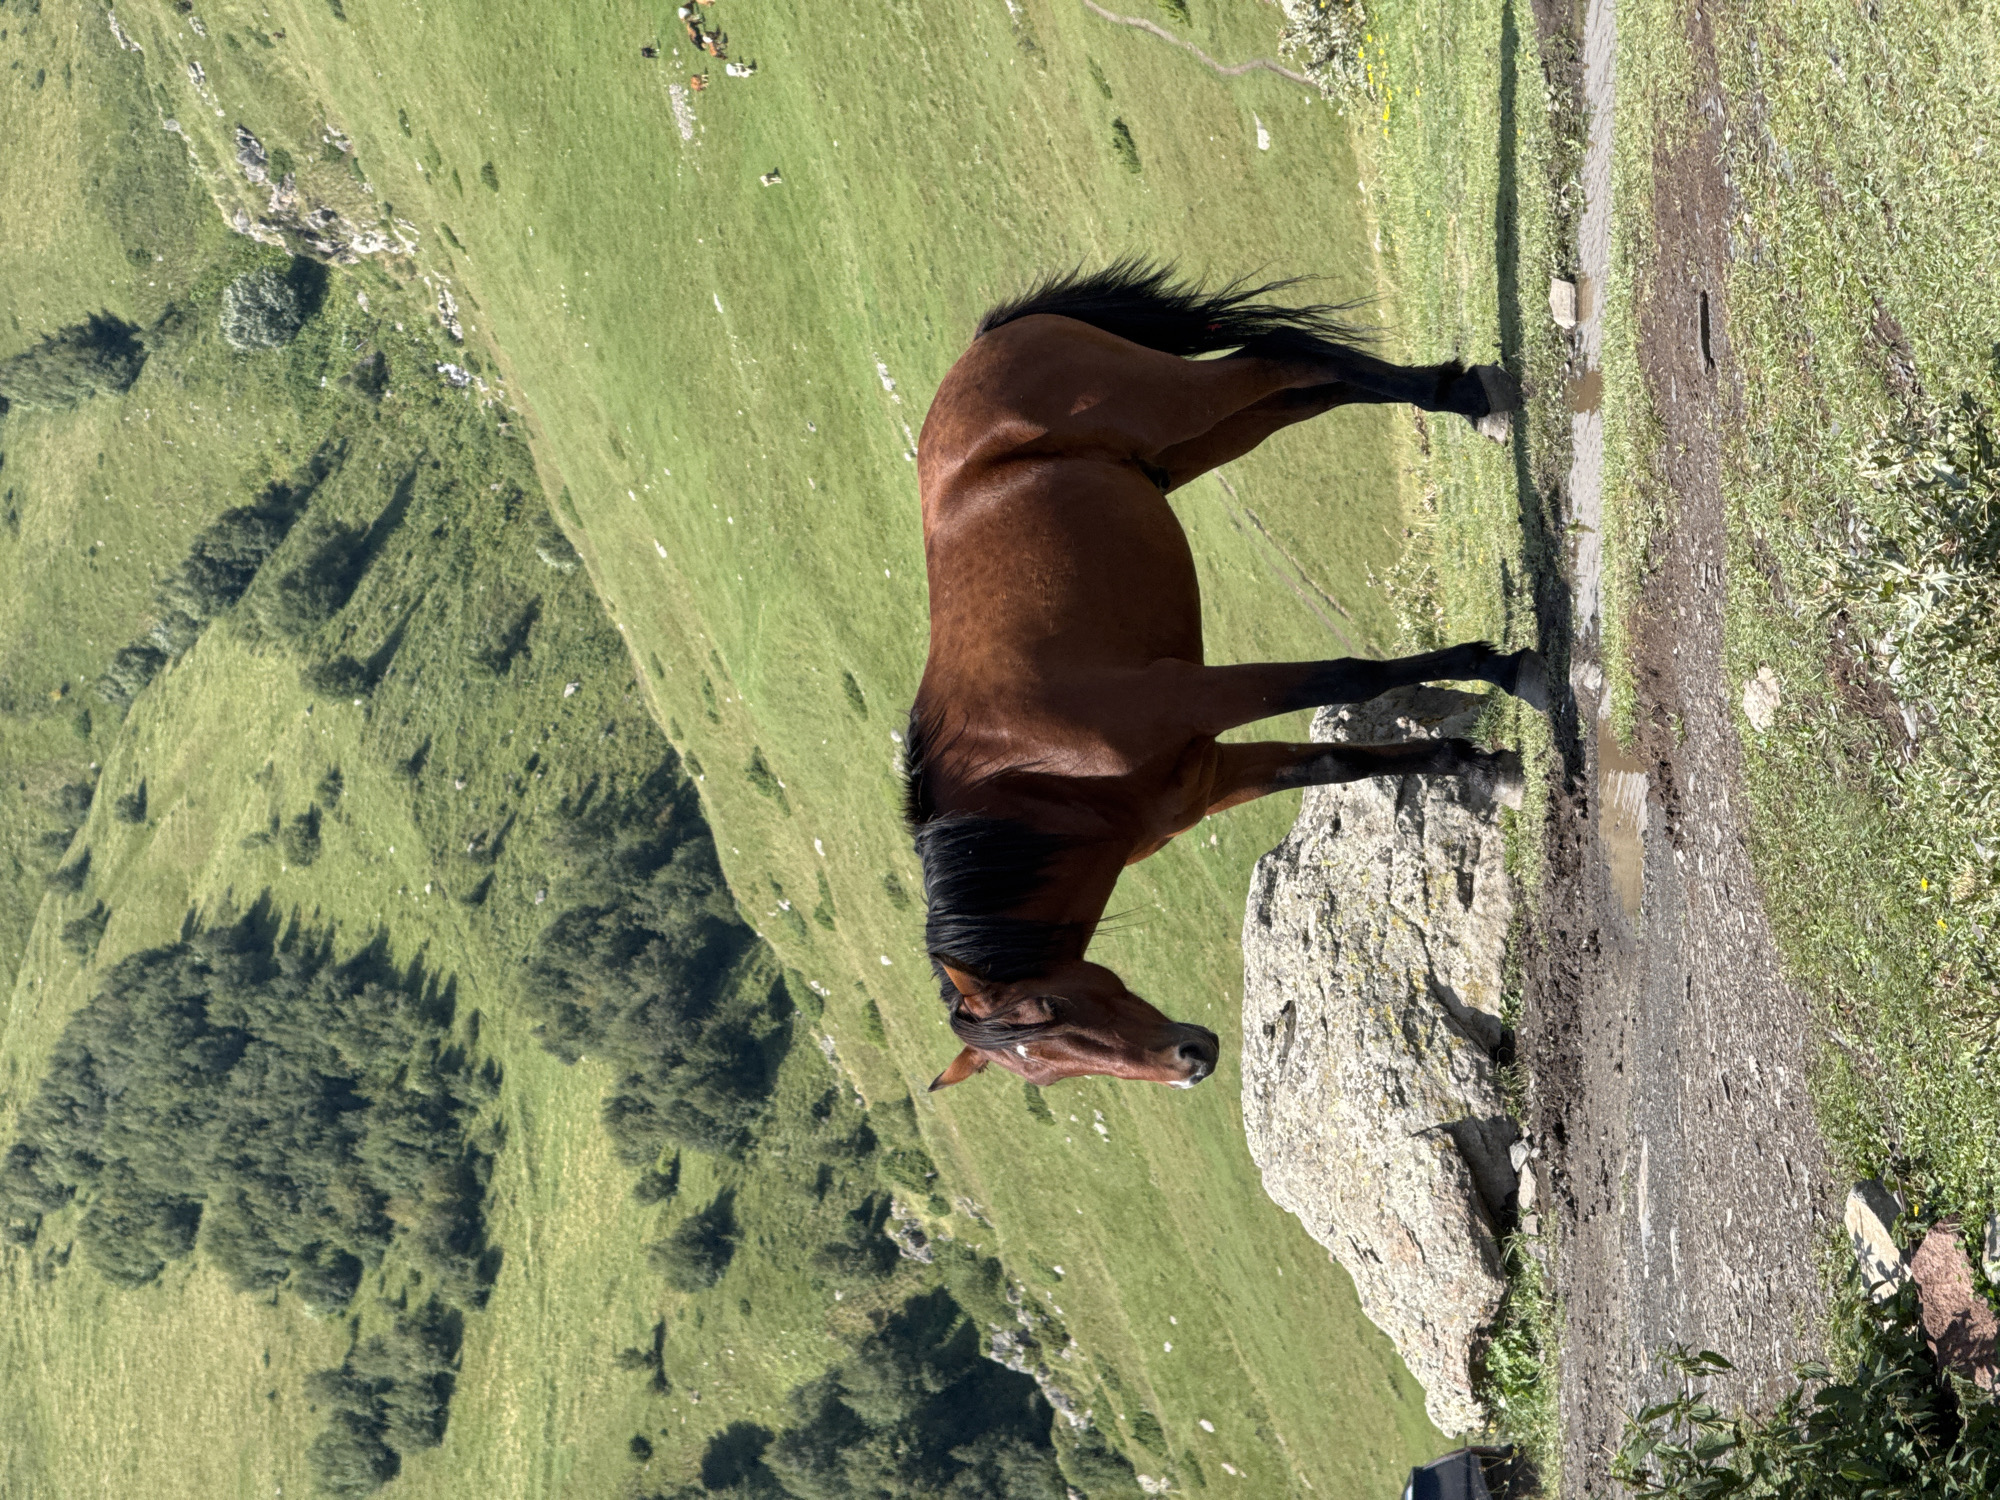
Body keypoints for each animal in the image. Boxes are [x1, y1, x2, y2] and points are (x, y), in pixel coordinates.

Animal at [906, 262, 1547, 1094]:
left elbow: (1342, 678)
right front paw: (1478, 767)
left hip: (1177, 405)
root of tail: (986, 343)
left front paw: (1504, 670)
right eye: (1045, 1074)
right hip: (1191, 446)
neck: (1038, 785)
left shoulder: (1201, 696)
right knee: (1304, 388)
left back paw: (1471, 399)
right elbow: (1333, 762)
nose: (1192, 1061)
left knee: (1281, 363)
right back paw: (1462, 395)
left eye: (1047, 1008)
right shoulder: (1210, 777)